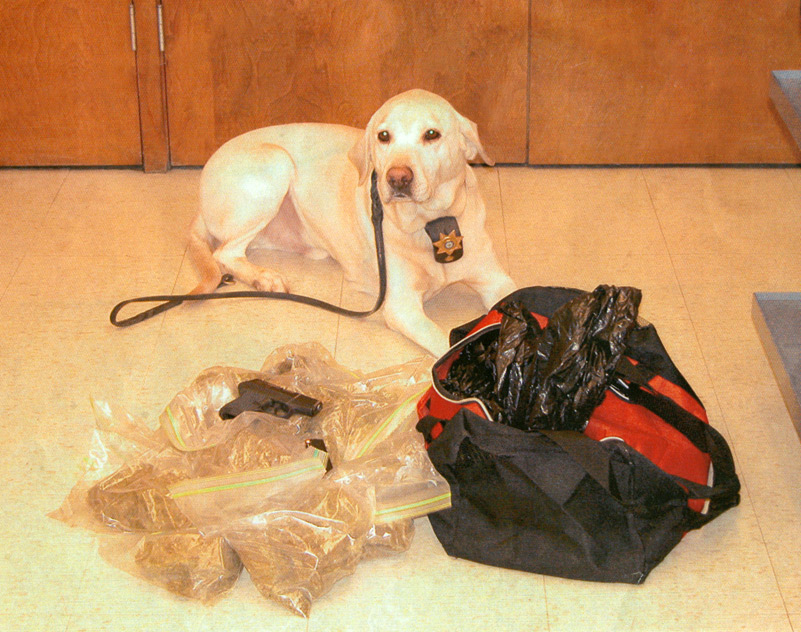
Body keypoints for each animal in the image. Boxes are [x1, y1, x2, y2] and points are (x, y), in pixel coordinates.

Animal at [188, 89, 512, 356]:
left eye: (432, 134)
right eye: (384, 136)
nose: (397, 178)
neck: (433, 224)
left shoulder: (496, 280)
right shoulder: (402, 306)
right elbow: (445, 342)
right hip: (276, 163)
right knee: (225, 253)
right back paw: (264, 277)